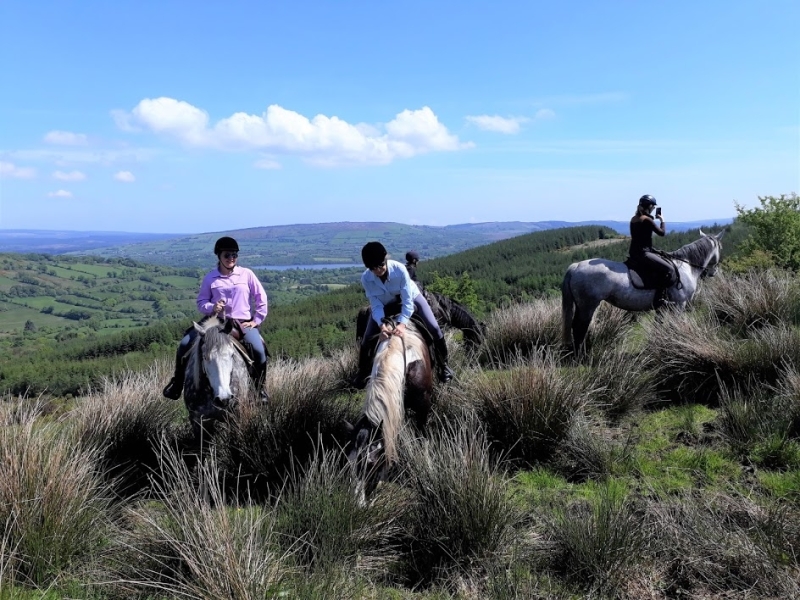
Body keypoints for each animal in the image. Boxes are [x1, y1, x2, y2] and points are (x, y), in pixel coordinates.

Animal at [342, 322, 432, 504]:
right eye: (349, 463)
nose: (357, 504)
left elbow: (423, 437)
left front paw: (428, 465)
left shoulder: (423, 407)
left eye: (371, 463)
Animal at [564, 227, 724, 354]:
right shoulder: (679, 305)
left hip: (581, 306)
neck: (685, 267)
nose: (713, 272)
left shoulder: (662, 308)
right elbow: (673, 326)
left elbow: (658, 326)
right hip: (587, 306)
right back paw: (581, 356)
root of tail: (576, 266)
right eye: (720, 248)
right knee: (579, 328)